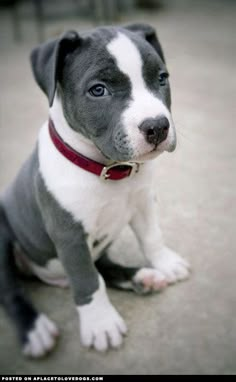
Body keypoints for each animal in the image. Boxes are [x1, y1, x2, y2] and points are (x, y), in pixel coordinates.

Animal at [0, 23, 190, 358]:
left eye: (161, 78)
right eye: (98, 90)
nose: (157, 126)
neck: (109, 170)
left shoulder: (143, 201)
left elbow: (151, 236)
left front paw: (165, 262)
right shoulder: (69, 235)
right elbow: (88, 279)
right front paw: (101, 323)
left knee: (104, 265)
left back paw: (142, 276)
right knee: (11, 290)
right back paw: (35, 330)